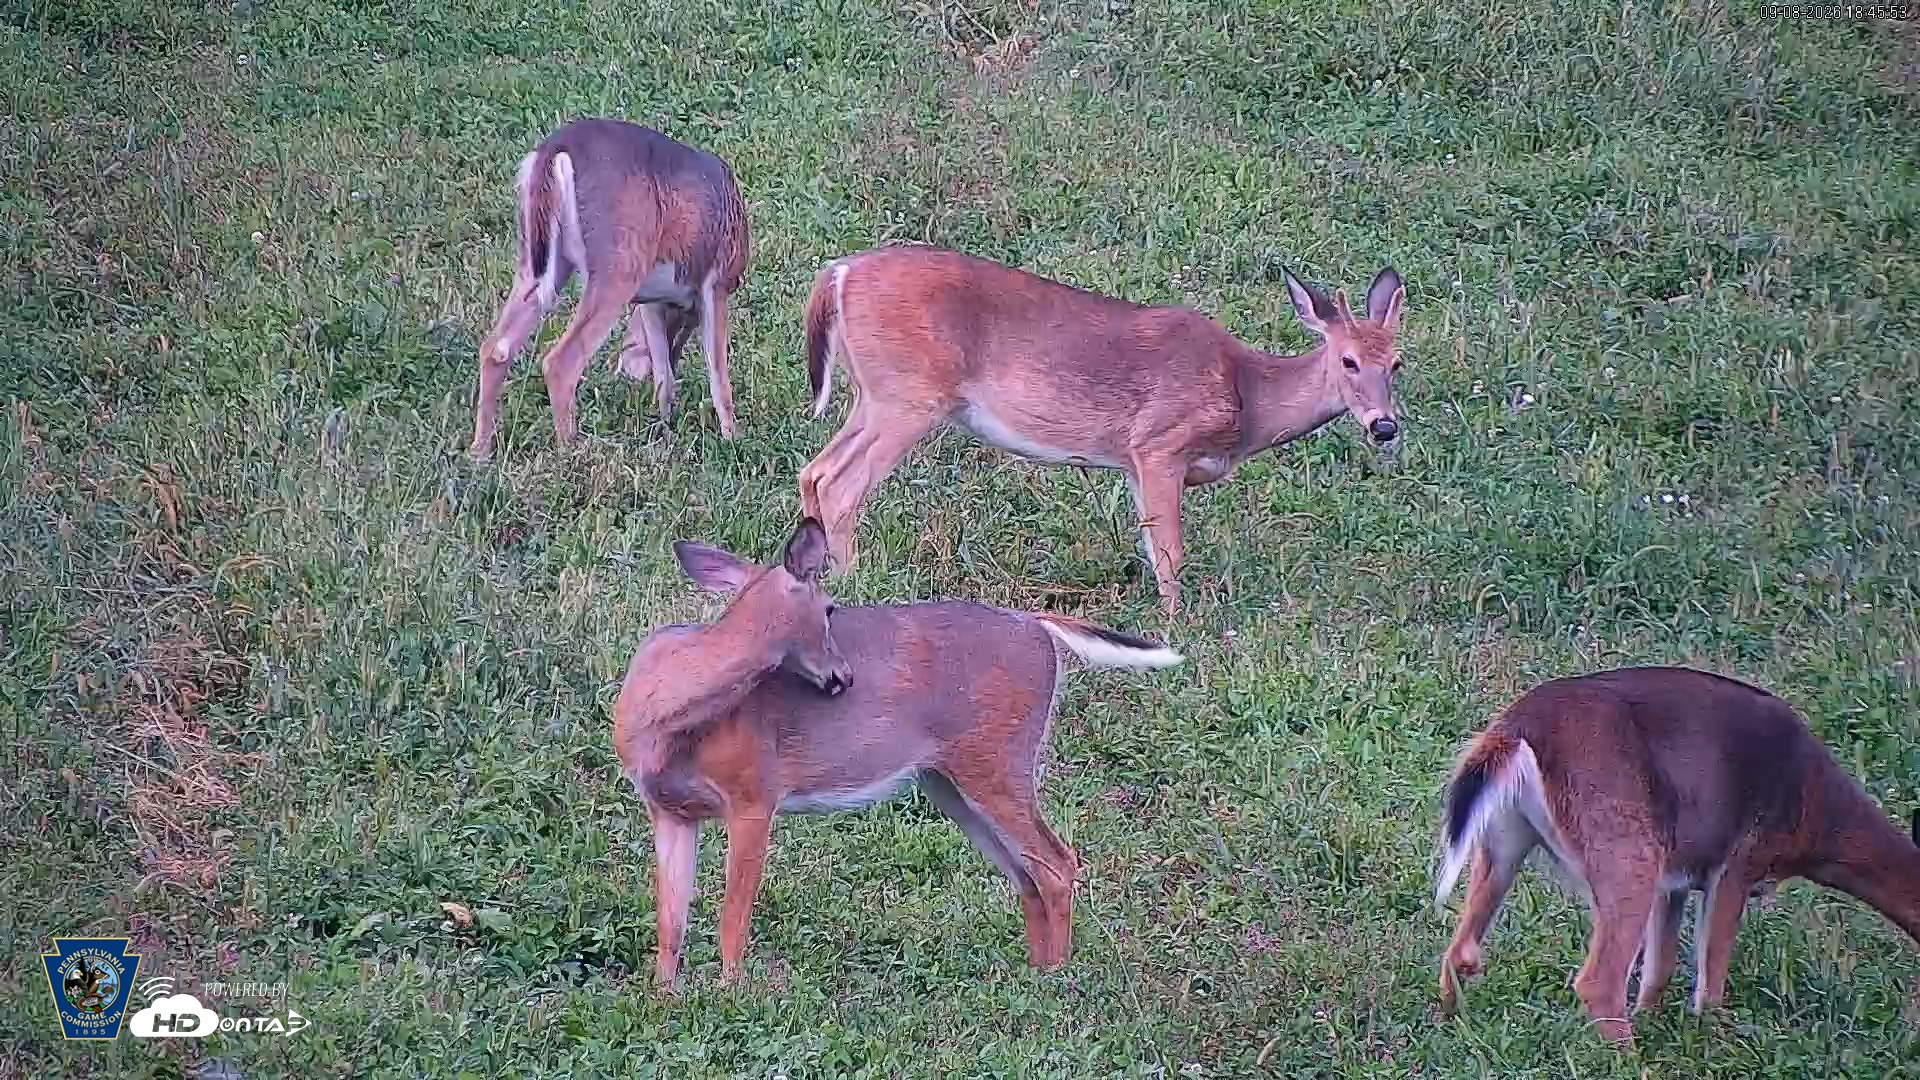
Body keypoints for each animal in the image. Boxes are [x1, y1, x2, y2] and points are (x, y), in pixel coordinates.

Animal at [469, 117, 748, 460]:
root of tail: (555, 147)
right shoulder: (717, 282)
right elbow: (718, 374)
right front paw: (732, 440)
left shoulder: (651, 301)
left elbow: (664, 376)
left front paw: (666, 430)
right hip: (618, 264)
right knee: (561, 361)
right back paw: (571, 451)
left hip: (539, 259)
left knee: (495, 347)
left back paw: (480, 451)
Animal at [612, 517, 1183, 989]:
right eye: (829, 609)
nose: (844, 678)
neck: (664, 722)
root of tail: (1038, 625)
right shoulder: (669, 809)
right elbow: (670, 920)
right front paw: (664, 999)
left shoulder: (755, 793)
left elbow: (732, 914)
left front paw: (732, 995)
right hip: (948, 781)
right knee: (1027, 873)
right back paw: (1036, 975)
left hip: (999, 758)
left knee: (1057, 863)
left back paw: (1057, 984)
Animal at [794, 245, 1407, 616]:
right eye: (1349, 361)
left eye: (1398, 364)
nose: (1384, 426)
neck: (1246, 396)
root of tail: (839, 273)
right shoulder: (1160, 442)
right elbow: (1170, 548)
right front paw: (1175, 623)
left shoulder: (1136, 463)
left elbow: (1150, 540)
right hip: (909, 395)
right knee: (841, 484)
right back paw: (850, 581)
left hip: (874, 393)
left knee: (814, 470)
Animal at [1434, 666, 1920, 1046]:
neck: (1817, 818)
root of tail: (1515, 727)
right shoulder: (1740, 858)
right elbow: (1710, 979)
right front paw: (1715, 1040)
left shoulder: (1679, 876)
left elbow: (1660, 965)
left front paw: (1653, 1018)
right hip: (1627, 844)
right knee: (1599, 980)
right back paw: (1629, 1060)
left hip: (1506, 841)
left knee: (1461, 950)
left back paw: (1448, 1023)